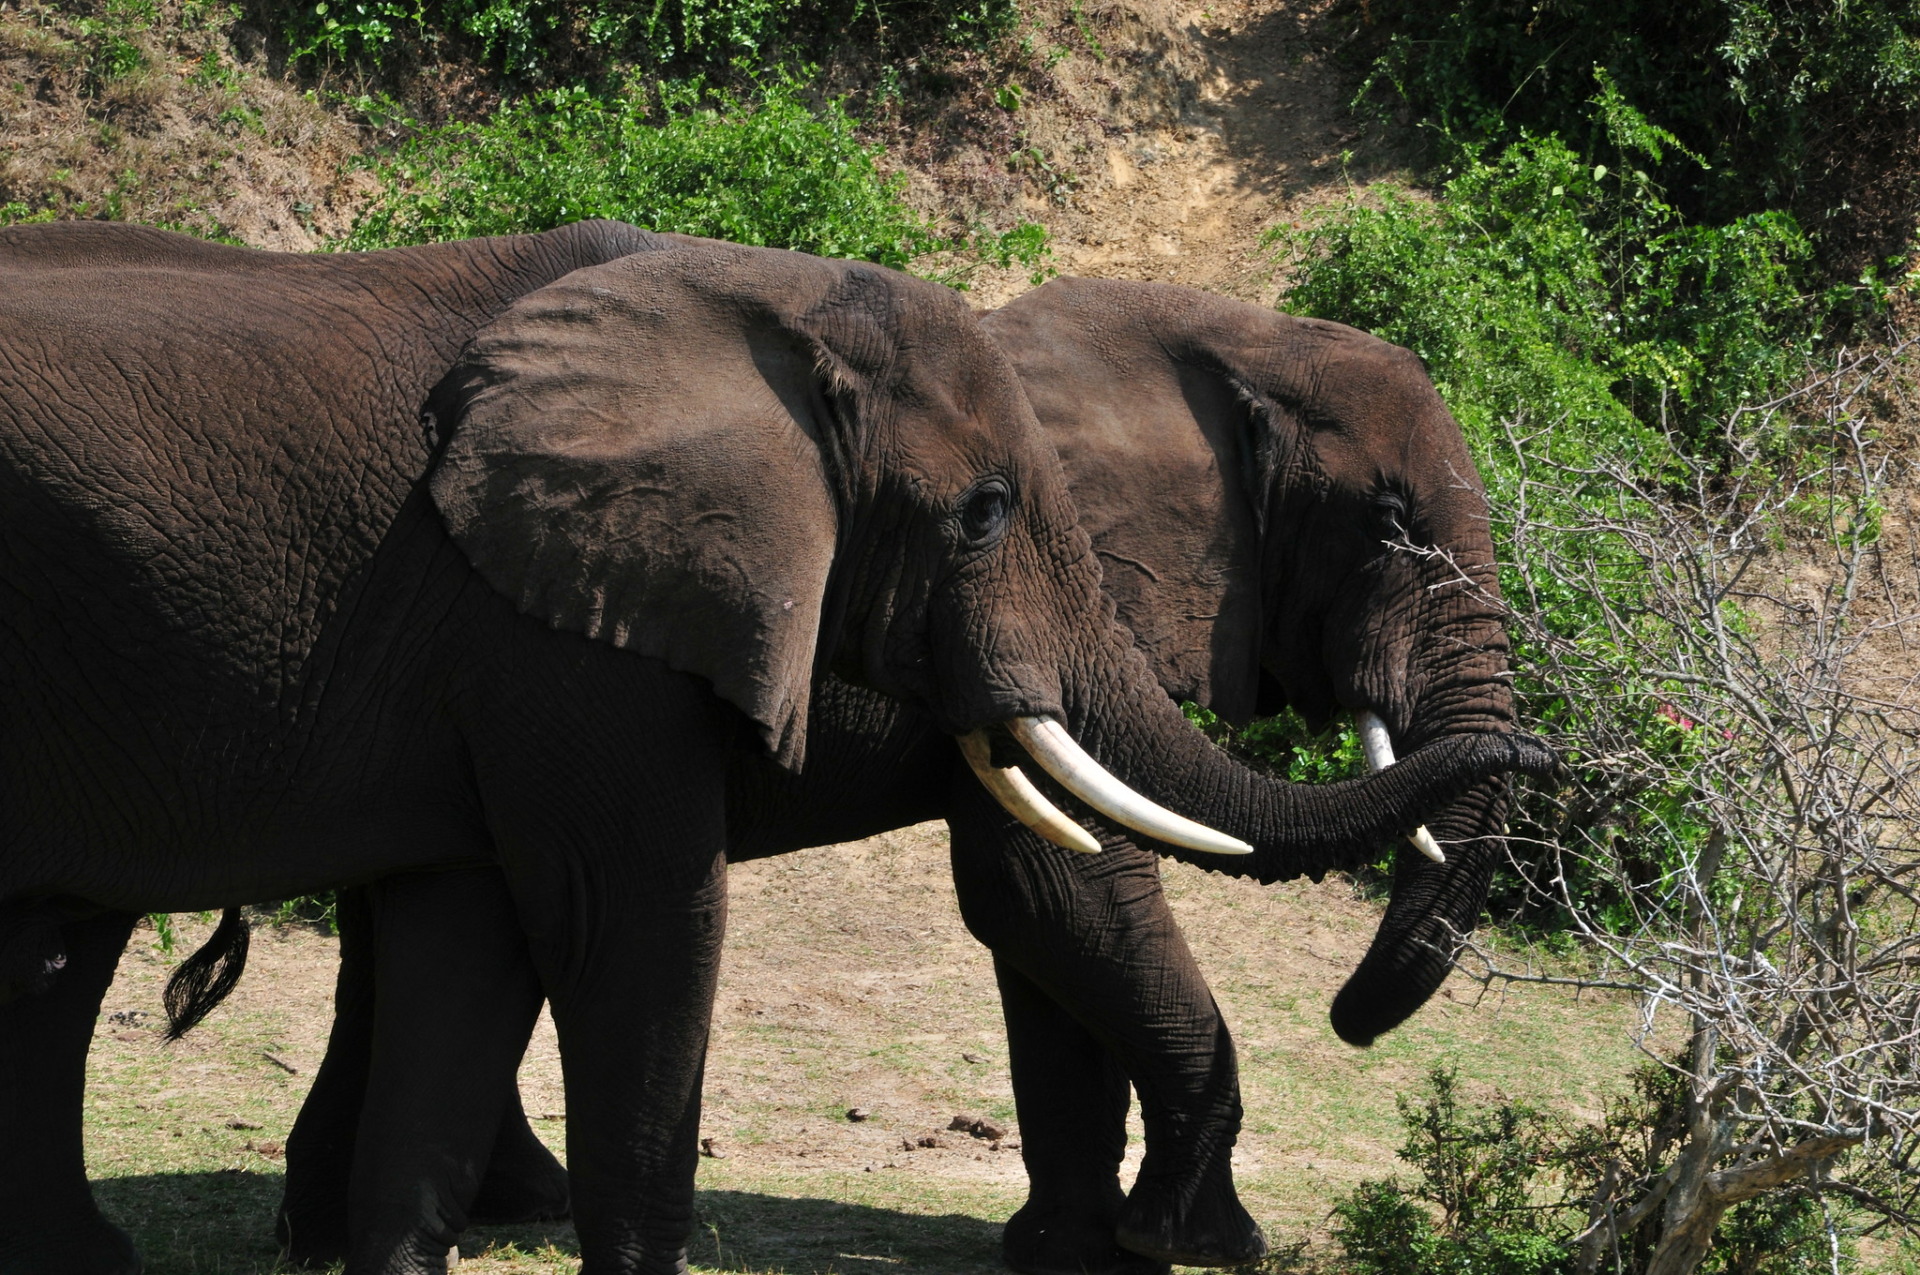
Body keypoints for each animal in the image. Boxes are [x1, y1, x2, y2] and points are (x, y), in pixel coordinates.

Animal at [0, 221, 1543, 1275]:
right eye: (1391, 526)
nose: (1520, 754)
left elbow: (1041, 908)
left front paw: (1073, 1251)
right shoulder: (581, 638)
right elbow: (1054, 887)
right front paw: (1195, 1241)